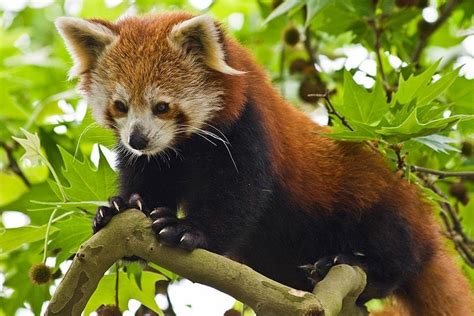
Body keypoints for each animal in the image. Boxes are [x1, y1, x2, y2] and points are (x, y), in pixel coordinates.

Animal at [55, 12, 470, 316]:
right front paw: (120, 206)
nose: (138, 139)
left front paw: (187, 230)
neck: (184, 148)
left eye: (162, 106)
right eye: (120, 106)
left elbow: (239, 195)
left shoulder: (248, 128)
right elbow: (145, 183)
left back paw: (351, 262)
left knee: (395, 247)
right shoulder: (156, 159)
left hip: (378, 199)